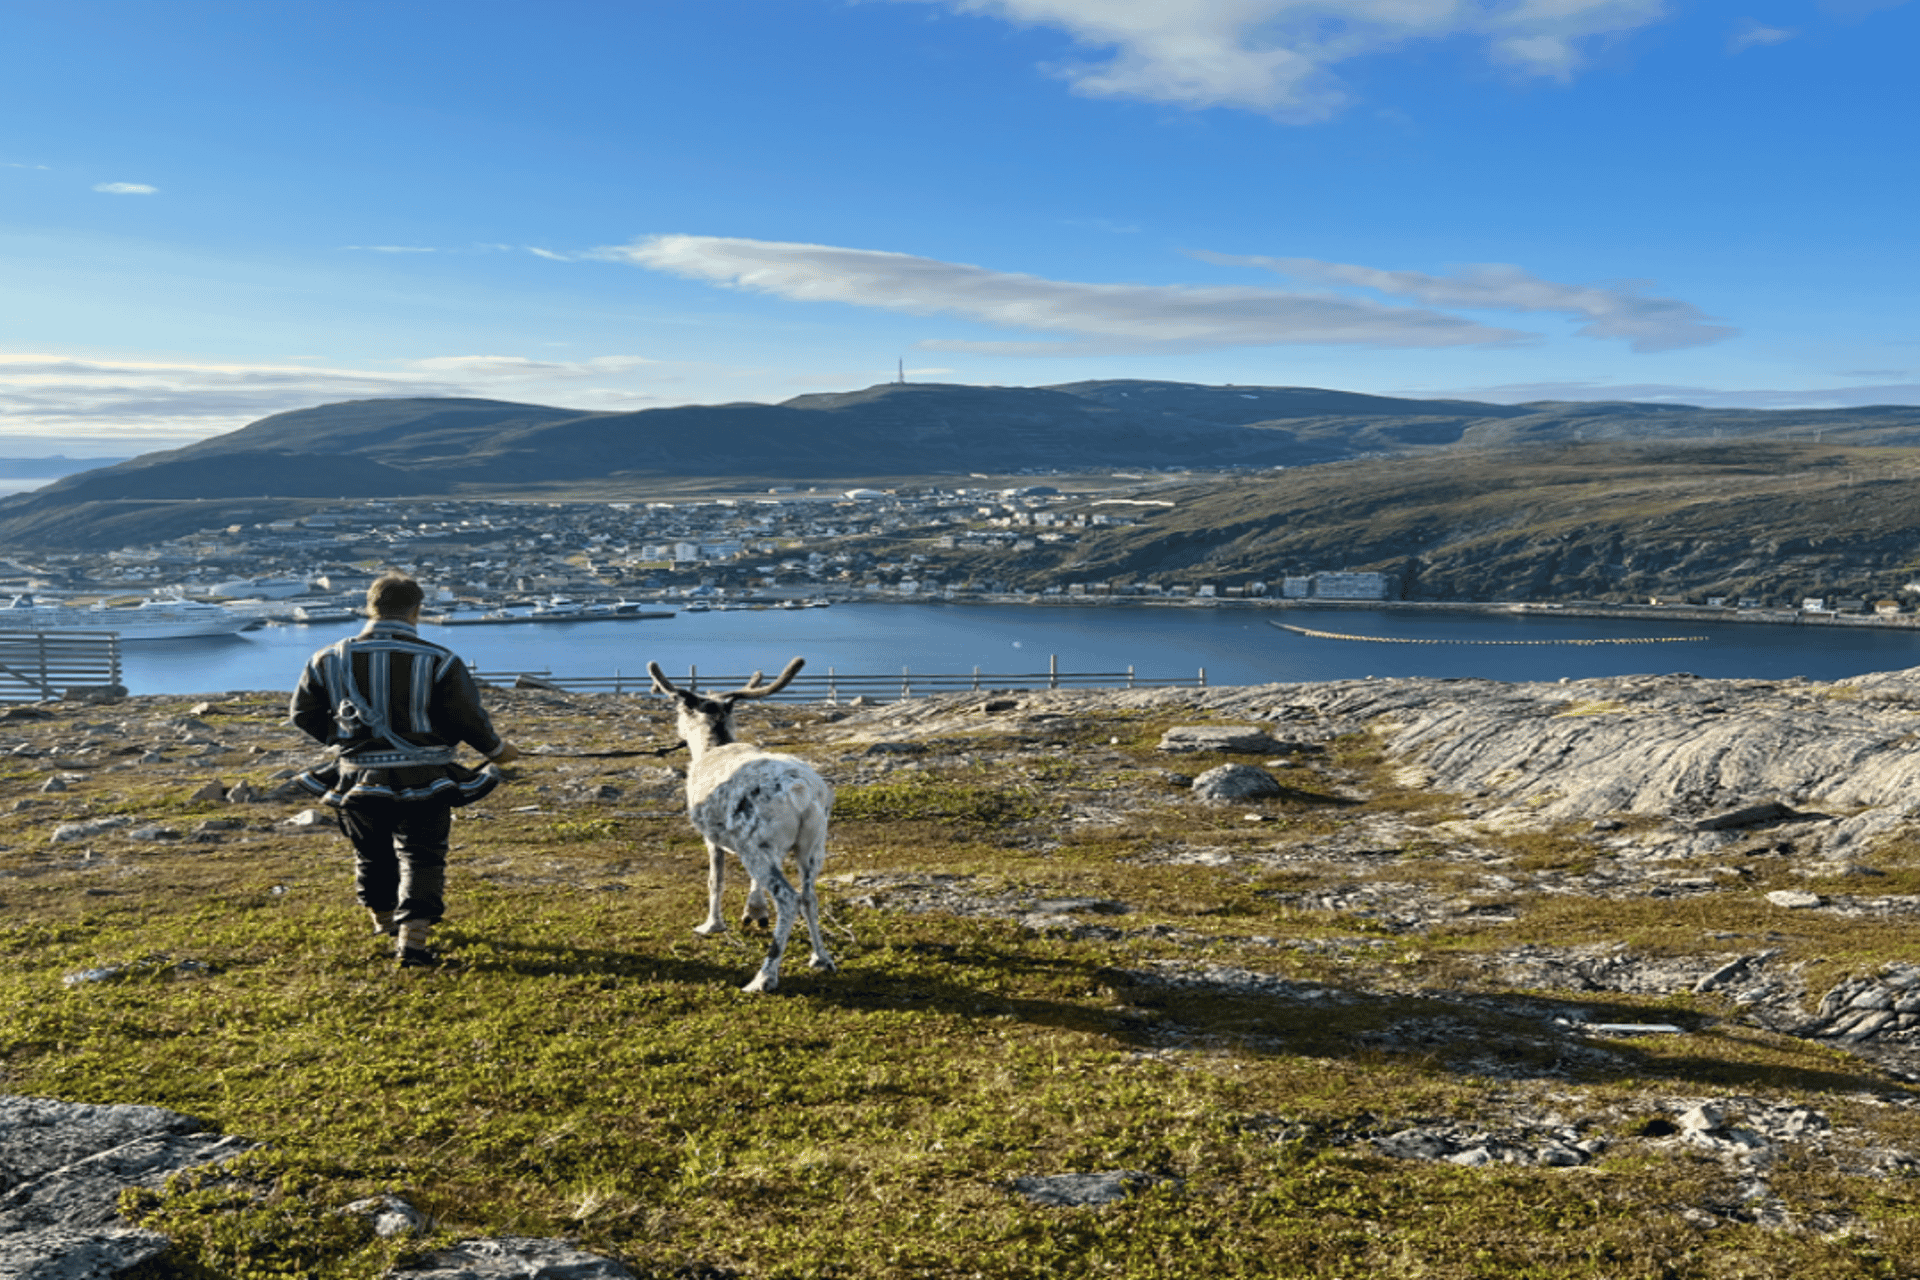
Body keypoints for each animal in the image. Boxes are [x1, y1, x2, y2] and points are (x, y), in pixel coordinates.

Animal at [647, 657, 836, 993]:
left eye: (680, 711)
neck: (711, 746)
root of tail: (800, 792)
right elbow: (753, 884)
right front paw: (754, 912)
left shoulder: (711, 835)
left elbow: (715, 880)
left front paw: (711, 925)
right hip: (812, 846)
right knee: (810, 896)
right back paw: (821, 958)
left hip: (755, 846)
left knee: (789, 898)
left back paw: (764, 977)